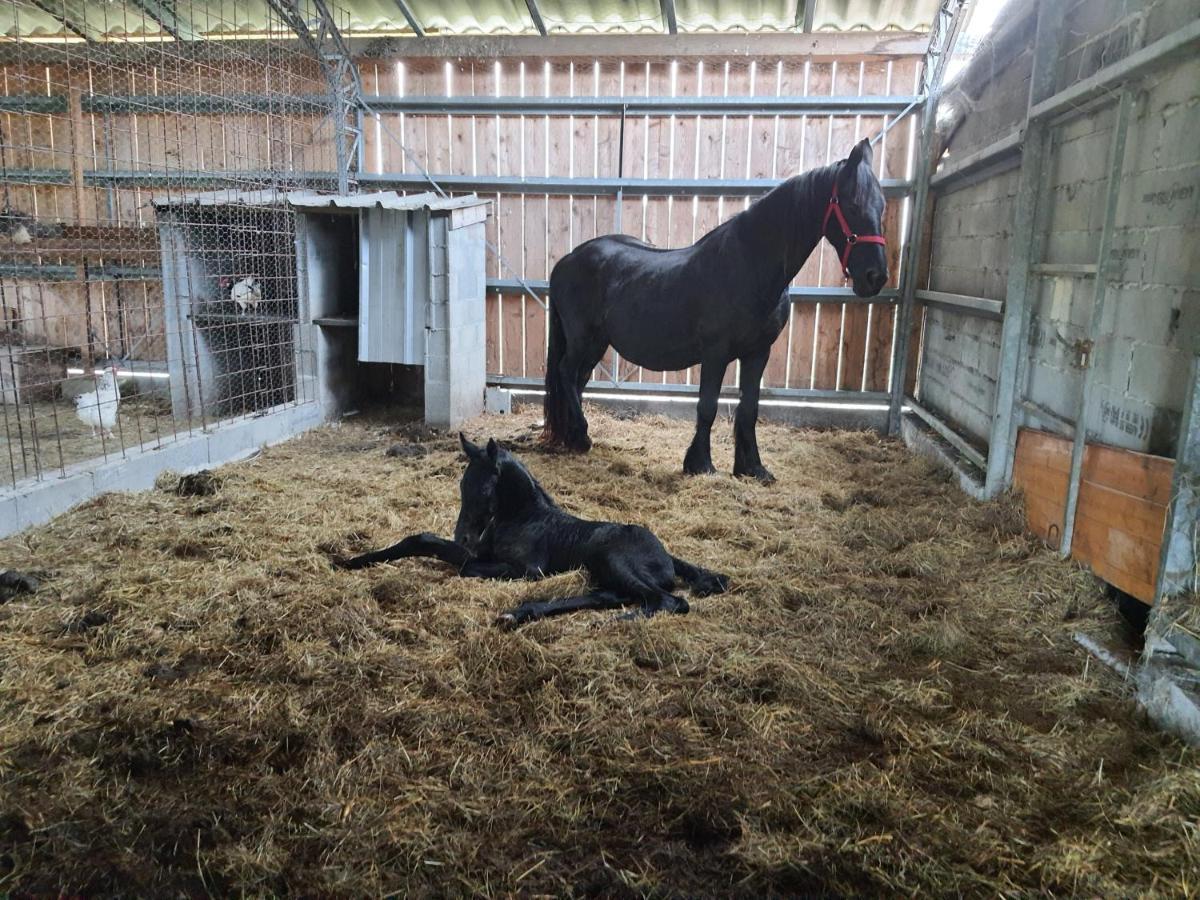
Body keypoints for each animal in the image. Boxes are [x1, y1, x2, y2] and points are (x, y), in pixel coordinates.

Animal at [331, 434, 729, 628]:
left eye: (485, 489)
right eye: (461, 484)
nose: (464, 536)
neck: (523, 516)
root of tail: (668, 555)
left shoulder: (526, 570)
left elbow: (463, 566)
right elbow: (422, 540)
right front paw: (347, 561)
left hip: (611, 557)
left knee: (667, 601)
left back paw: (614, 623)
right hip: (602, 572)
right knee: (610, 596)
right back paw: (519, 615)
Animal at [544, 136, 892, 482]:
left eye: (881, 206)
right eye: (852, 205)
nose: (875, 277)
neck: (749, 267)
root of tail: (567, 260)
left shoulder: (758, 352)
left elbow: (749, 408)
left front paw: (752, 468)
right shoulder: (715, 353)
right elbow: (707, 406)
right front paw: (700, 464)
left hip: (597, 342)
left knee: (578, 378)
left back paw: (574, 436)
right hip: (582, 339)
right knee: (566, 371)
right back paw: (581, 435)